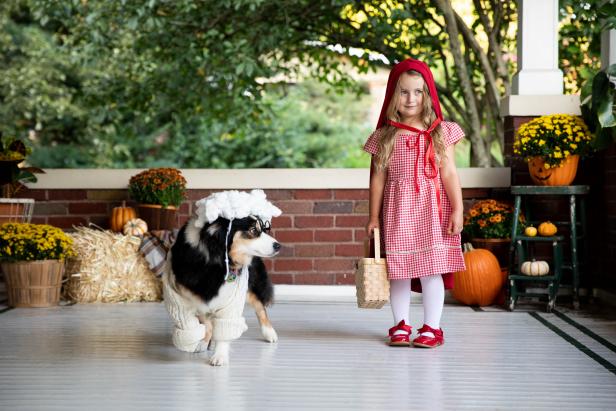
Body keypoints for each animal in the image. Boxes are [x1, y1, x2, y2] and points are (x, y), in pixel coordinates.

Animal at [162, 214, 280, 368]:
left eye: (263, 229)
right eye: (253, 230)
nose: (278, 246)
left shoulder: (233, 296)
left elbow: (225, 325)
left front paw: (220, 355)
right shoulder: (184, 299)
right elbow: (204, 324)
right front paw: (202, 342)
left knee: (260, 307)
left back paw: (269, 333)